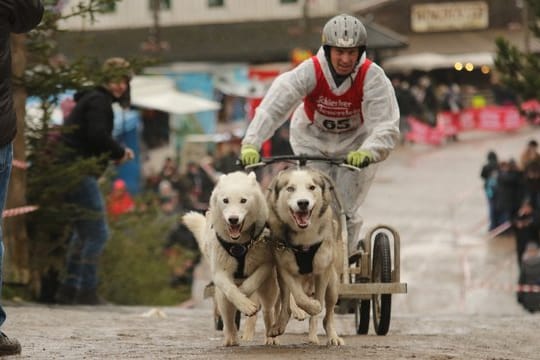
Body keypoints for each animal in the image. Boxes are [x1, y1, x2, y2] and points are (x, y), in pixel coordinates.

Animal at [184, 172, 280, 346]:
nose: (233, 219)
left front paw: (245, 299)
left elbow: (251, 282)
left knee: (268, 311)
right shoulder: (219, 273)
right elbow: (231, 291)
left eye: (243, 200)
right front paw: (244, 304)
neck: (239, 245)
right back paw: (231, 338)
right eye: (225, 200)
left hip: (269, 289)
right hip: (221, 296)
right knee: (227, 315)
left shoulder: (266, 264)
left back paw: (271, 337)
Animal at [266, 167, 346, 344]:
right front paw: (309, 306)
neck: (303, 239)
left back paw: (330, 336)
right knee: (285, 303)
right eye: (290, 188)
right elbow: (298, 297)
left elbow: (319, 303)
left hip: (334, 282)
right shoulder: (284, 266)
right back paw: (279, 325)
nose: (303, 202)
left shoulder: (322, 269)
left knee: (328, 313)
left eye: (311, 187)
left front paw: (315, 307)